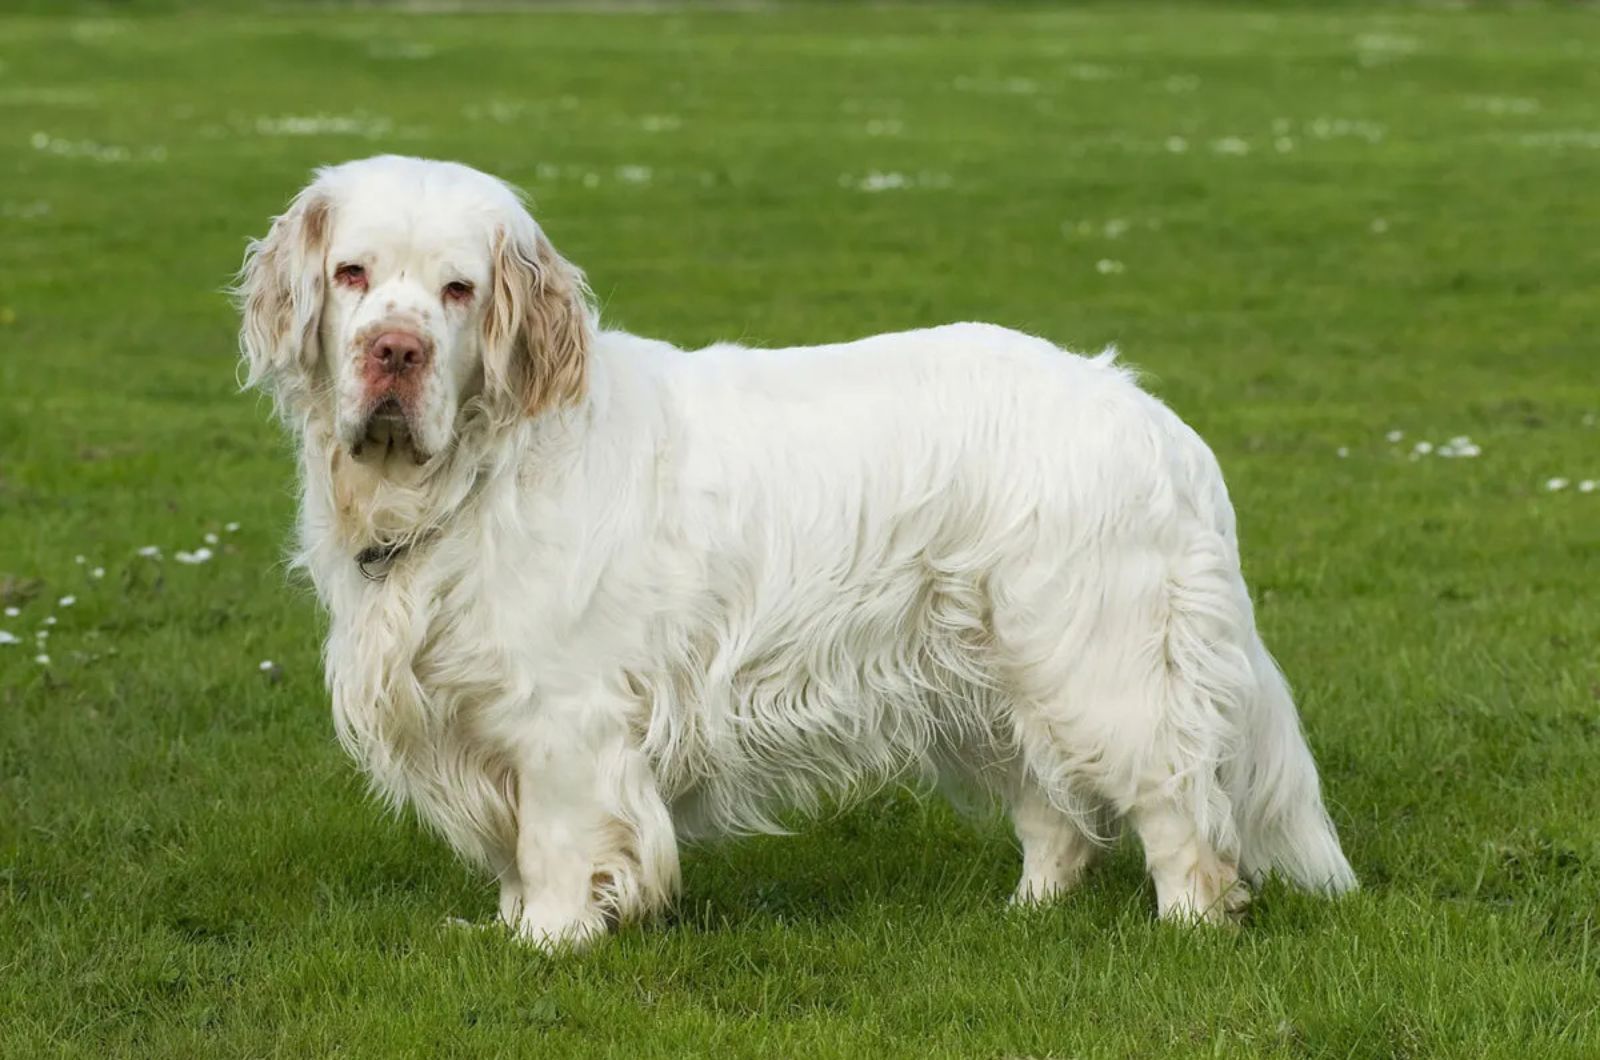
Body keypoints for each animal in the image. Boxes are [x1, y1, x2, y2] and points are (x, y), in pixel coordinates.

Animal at [233, 153, 1363, 947]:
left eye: (458, 290)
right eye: (353, 275)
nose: (394, 353)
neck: (472, 473)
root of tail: (1150, 413)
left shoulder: (563, 716)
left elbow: (556, 841)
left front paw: (549, 941)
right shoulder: (474, 712)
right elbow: (514, 851)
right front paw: (504, 928)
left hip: (1100, 663)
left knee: (1178, 806)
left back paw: (1188, 925)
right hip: (988, 676)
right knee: (1055, 816)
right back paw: (1025, 915)